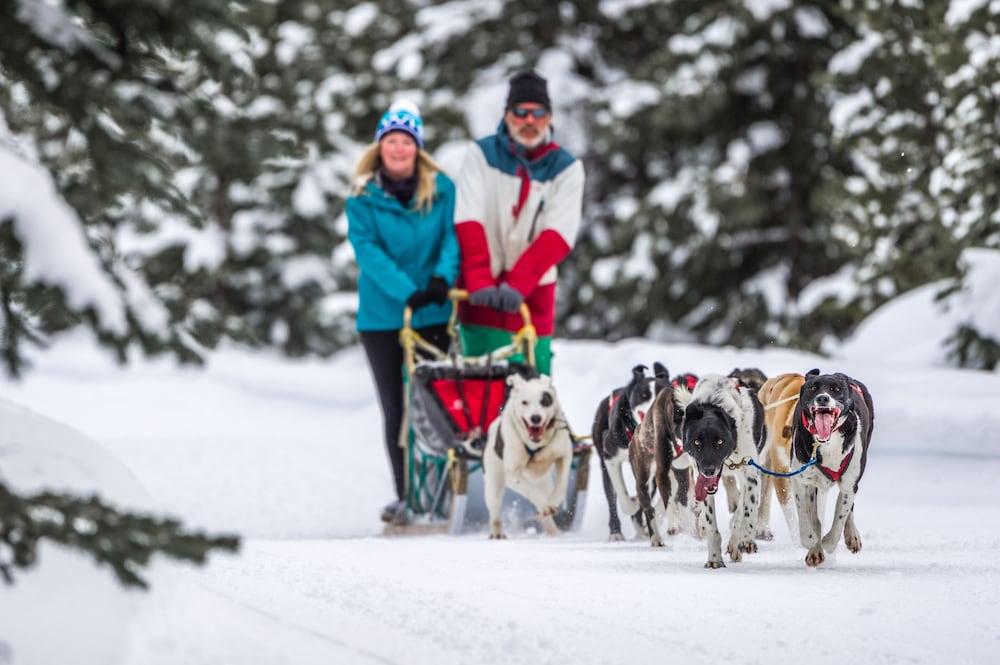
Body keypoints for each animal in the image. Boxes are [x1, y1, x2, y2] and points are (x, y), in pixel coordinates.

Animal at [482, 374, 572, 540]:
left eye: (545, 400)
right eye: (524, 402)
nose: (535, 417)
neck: (536, 445)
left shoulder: (564, 453)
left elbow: (561, 484)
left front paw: (553, 501)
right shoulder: (512, 474)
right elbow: (532, 491)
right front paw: (545, 505)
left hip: (544, 482)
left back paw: (553, 531)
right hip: (494, 483)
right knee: (495, 510)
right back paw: (497, 532)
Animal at [588, 364, 668, 540]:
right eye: (644, 395)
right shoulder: (610, 457)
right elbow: (622, 495)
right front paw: (631, 504)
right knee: (612, 497)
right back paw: (616, 532)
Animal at [680, 374, 764, 564]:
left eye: (720, 442)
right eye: (697, 442)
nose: (709, 470)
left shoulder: (751, 473)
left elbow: (748, 509)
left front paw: (746, 539)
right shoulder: (700, 477)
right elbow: (710, 522)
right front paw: (714, 559)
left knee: (741, 508)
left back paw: (736, 542)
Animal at [788, 368, 876, 564]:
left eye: (836, 389)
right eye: (813, 388)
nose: (822, 398)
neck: (827, 442)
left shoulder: (849, 483)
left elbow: (840, 517)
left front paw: (828, 542)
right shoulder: (800, 480)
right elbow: (806, 516)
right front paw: (812, 542)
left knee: (849, 508)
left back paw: (851, 535)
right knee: (814, 515)